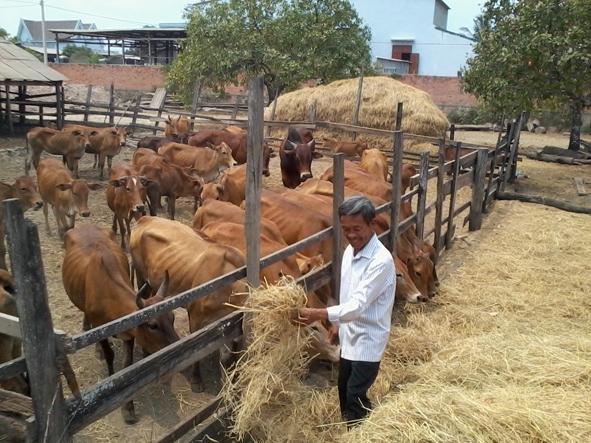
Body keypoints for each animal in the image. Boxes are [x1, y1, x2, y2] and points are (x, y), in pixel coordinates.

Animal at [62, 225, 179, 424]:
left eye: (172, 317)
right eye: (153, 325)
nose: (178, 345)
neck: (108, 294)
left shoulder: (129, 334)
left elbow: (127, 365)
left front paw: (128, 407)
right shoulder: (99, 327)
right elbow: (110, 356)